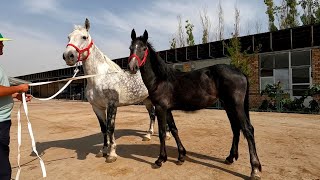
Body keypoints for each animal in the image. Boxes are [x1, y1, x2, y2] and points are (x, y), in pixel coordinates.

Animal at [127, 29, 262, 179]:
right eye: (131, 48)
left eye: (144, 48)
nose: (132, 67)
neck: (160, 79)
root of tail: (240, 72)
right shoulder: (167, 109)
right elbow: (174, 130)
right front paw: (181, 156)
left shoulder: (161, 108)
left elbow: (162, 132)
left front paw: (160, 159)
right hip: (229, 106)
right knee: (236, 129)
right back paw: (230, 158)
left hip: (237, 106)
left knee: (248, 130)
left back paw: (254, 169)